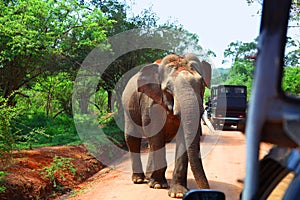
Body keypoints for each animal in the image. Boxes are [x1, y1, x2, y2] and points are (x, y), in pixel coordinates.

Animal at [121, 53, 211, 198]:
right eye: (168, 88)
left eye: (201, 84)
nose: (206, 190)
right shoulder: (151, 104)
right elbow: (156, 136)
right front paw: (158, 185)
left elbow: (182, 139)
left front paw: (178, 193)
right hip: (128, 108)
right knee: (132, 138)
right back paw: (139, 179)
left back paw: (148, 177)